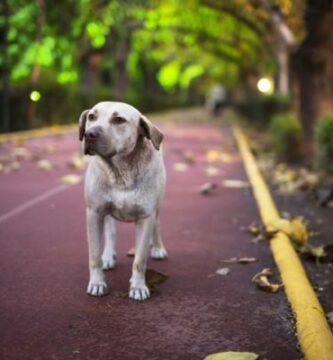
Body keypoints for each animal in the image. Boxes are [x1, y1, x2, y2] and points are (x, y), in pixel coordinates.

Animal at [79, 101, 167, 300]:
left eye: (119, 120)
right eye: (92, 117)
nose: (89, 134)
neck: (120, 173)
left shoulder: (145, 218)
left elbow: (139, 260)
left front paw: (138, 286)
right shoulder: (94, 213)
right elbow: (94, 255)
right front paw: (97, 282)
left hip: (158, 205)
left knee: (158, 226)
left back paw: (158, 248)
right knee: (110, 231)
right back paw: (108, 255)